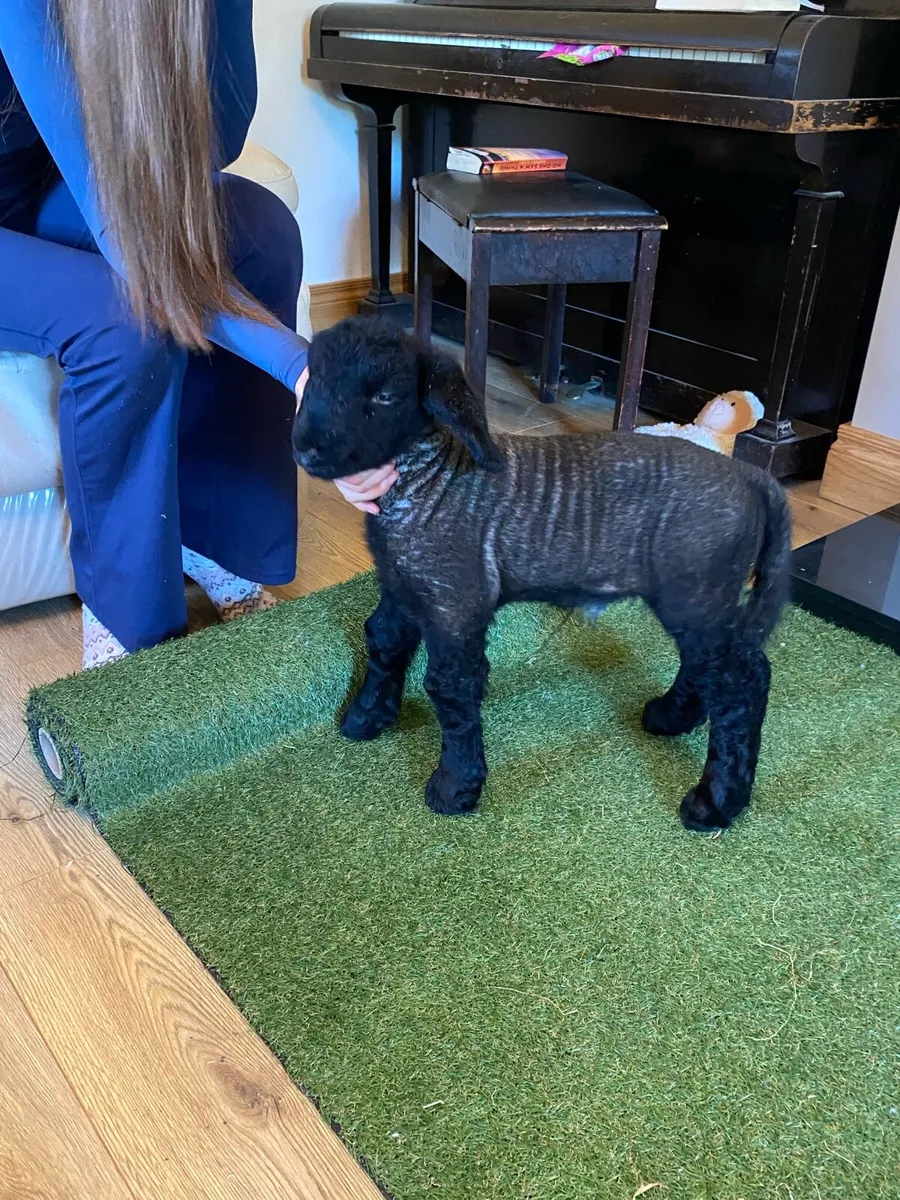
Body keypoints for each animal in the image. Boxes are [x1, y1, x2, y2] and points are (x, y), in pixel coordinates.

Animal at [293, 316, 792, 831]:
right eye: (316, 378)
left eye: (386, 396)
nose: (305, 451)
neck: (428, 477)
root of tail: (752, 477)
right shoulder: (402, 588)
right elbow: (383, 642)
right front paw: (367, 716)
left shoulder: (456, 605)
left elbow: (450, 689)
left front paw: (455, 787)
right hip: (698, 601)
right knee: (710, 667)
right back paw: (671, 718)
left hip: (697, 593)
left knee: (741, 683)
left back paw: (716, 801)